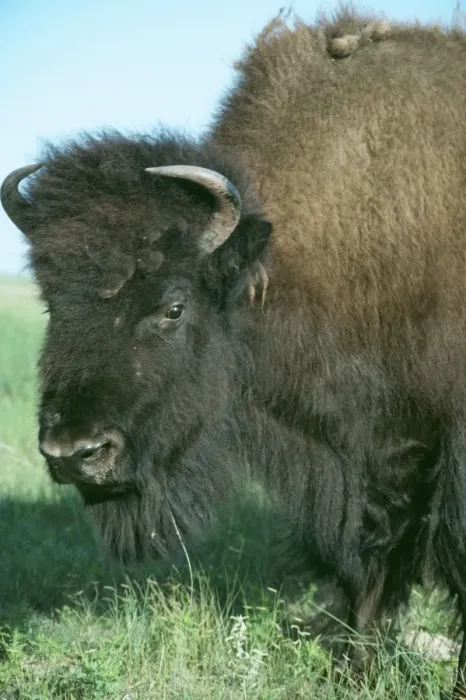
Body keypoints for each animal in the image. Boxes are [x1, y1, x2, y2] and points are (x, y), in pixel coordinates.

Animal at [3, 7, 466, 695]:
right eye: (52, 302)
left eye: (174, 306)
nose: (74, 452)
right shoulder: (365, 455)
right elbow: (365, 561)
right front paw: (349, 659)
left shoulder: (424, 449)